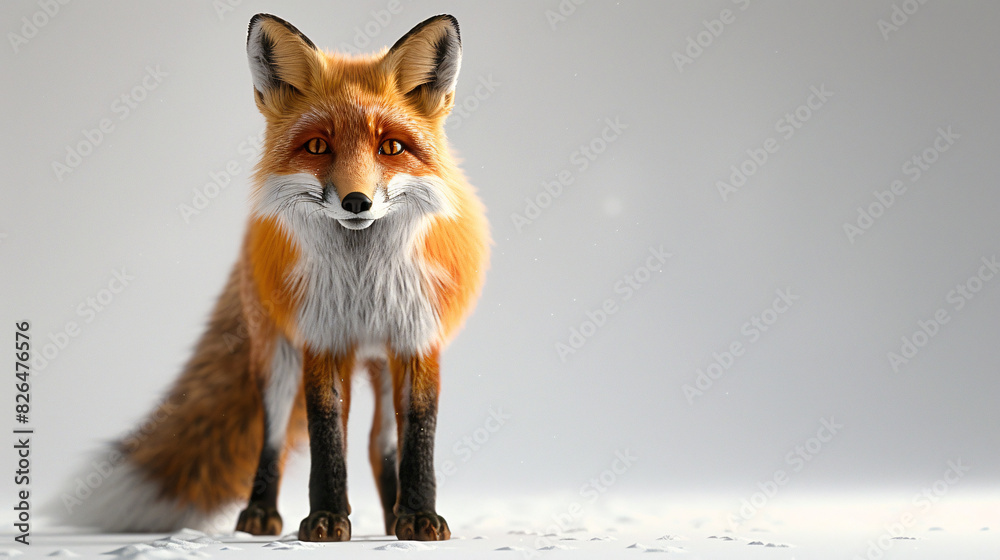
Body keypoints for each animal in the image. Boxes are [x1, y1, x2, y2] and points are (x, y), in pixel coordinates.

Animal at [61, 13, 488, 542]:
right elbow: (326, 437)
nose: (357, 202)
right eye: (318, 146)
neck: (362, 283)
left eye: (391, 147)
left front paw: (420, 518)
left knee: (378, 442)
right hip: (279, 358)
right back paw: (261, 515)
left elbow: (419, 438)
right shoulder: (320, 339)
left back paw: (393, 520)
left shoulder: (417, 341)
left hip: (382, 361)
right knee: (280, 435)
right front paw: (326, 519)